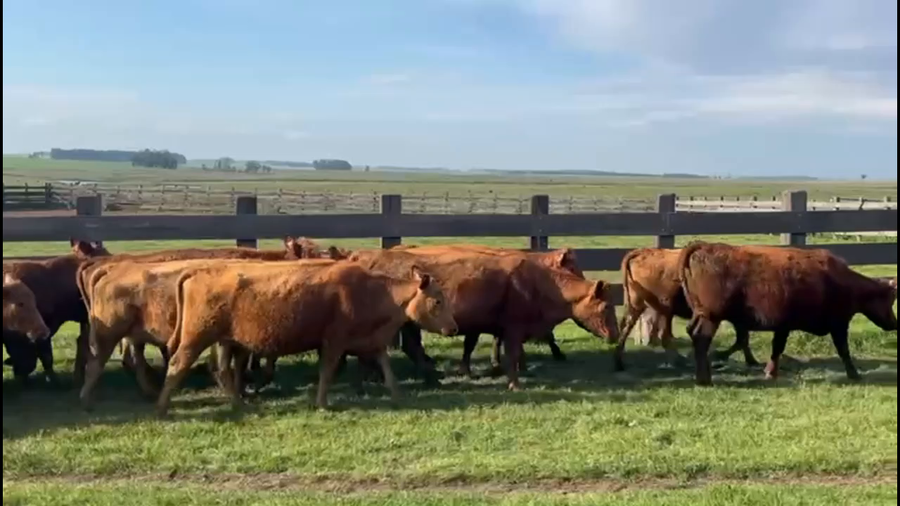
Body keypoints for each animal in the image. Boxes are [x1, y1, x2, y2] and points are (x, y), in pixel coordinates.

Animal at [155, 260, 458, 414]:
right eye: (438, 301)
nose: (454, 328)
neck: (372, 291)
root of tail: (199, 270)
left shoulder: (371, 341)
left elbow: (387, 369)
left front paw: (398, 396)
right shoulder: (334, 342)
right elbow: (327, 371)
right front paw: (322, 404)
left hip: (224, 341)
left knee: (222, 371)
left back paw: (239, 404)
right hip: (196, 338)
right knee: (178, 365)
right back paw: (161, 407)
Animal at [348, 249, 619, 390]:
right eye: (606, 306)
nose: (615, 335)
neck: (537, 281)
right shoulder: (512, 329)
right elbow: (511, 355)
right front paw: (514, 383)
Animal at [614, 248, 760, 372]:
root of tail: (641, 252)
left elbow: (743, 339)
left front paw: (751, 361)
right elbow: (742, 339)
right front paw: (720, 356)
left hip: (639, 306)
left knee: (627, 328)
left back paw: (619, 364)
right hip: (663, 309)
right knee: (663, 335)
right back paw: (679, 361)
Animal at [678, 241, 898, 386]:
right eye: (889, 300)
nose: (893, 324)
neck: (841, 281)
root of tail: (705, 247)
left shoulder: (783, 326)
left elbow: (777, 348)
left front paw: (770, 372)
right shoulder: (839, 325)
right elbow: (844, 350)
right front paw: (854, 374)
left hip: (701, 315)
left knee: (694, 334)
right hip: (711, 317)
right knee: (701, 338)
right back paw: (704, 379)